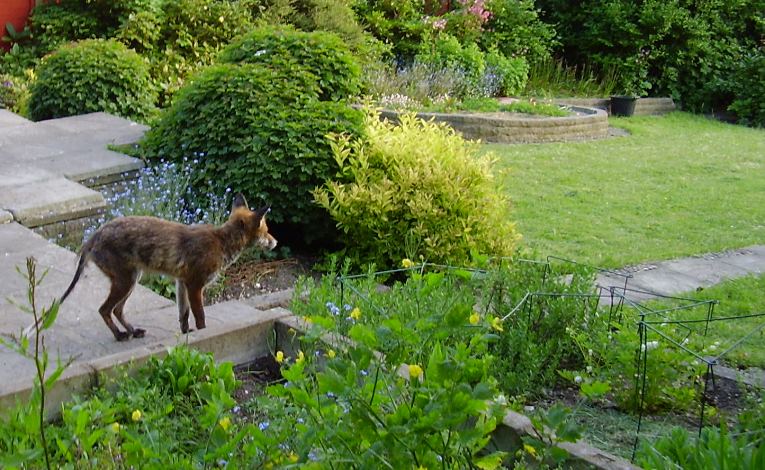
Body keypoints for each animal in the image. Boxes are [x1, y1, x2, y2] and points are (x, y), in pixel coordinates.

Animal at [57, 193, 277, 341]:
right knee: (104, 310)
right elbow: (200, 317)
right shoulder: (195, 285)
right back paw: (120, 335)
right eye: (266, 230)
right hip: (125, 282)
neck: (221, 242)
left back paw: (132, 331)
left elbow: (183, 315)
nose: (275, 242)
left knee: (117, 310)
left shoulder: (181, 282)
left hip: (131, 281)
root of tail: (94, 235)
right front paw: (204, 335)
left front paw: (186, 334)